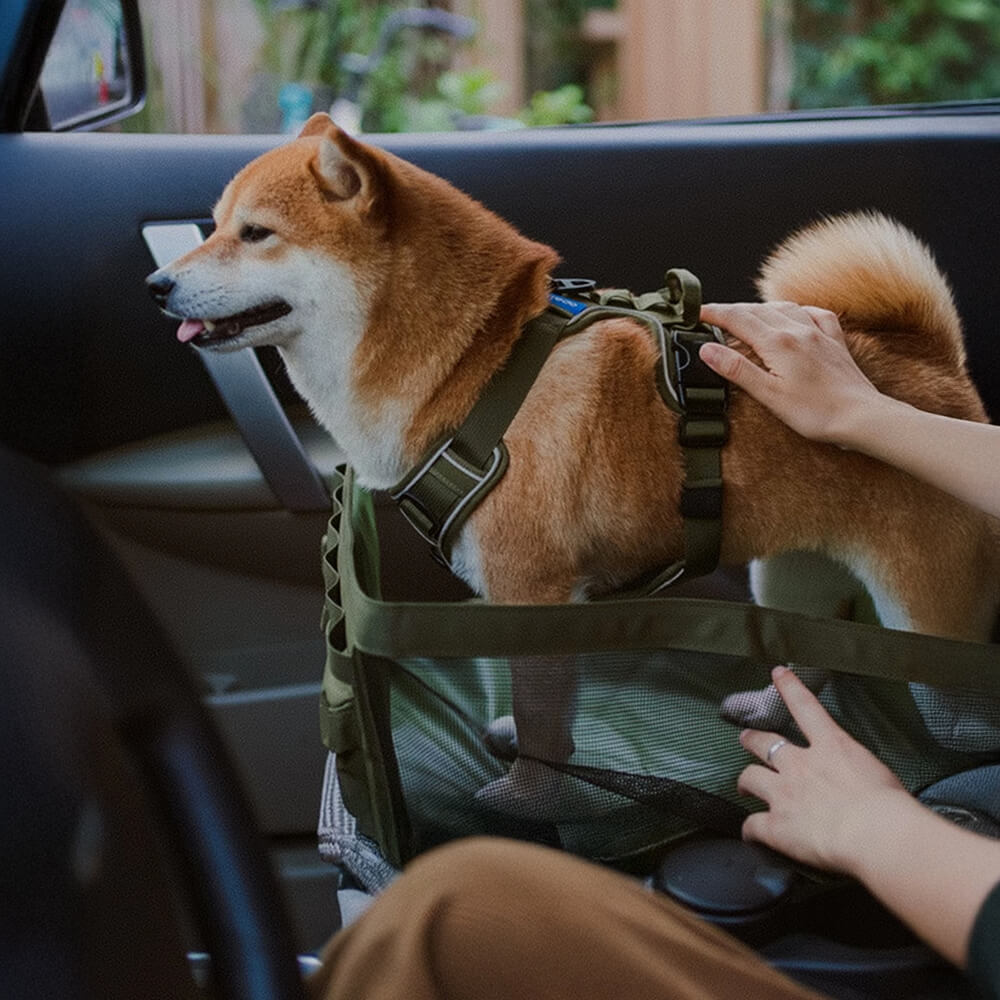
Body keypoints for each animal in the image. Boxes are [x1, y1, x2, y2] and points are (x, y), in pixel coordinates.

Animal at [148, 111, 1000, 812]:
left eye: (256, 233)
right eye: (215, 226)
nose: (156, 282)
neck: (478, 369)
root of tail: (932, 361)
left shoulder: (534, 591)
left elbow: (543, 723)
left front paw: (527, 798)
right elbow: (538, 701)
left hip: (924, 617)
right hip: (791, 573)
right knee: (819, 656)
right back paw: (768, 708)